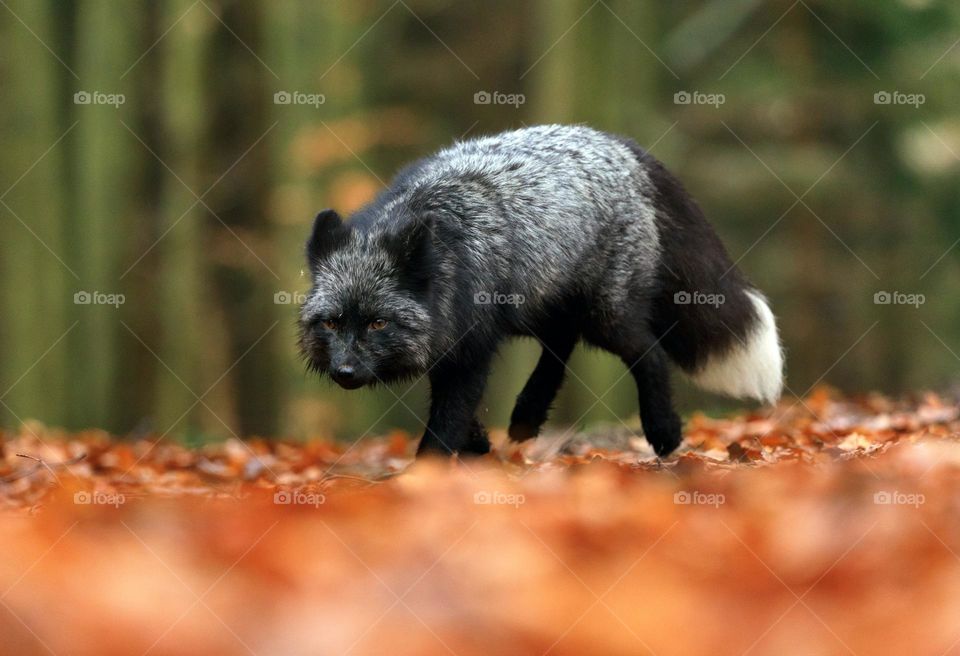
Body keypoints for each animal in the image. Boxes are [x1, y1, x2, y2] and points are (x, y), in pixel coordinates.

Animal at [299, 124, 783, 458]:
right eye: (332, 323)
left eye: (378, 323)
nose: (344, 372)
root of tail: (623, 146)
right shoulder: (452, 340)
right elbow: (457, 411)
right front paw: (477, 445)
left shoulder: (472, 348)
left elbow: (444, 424)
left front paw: (425, 478)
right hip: (538, 306)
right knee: (561, 344)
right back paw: (527, 416)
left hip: (605, 317)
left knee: (649, 353)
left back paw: (663, 432)